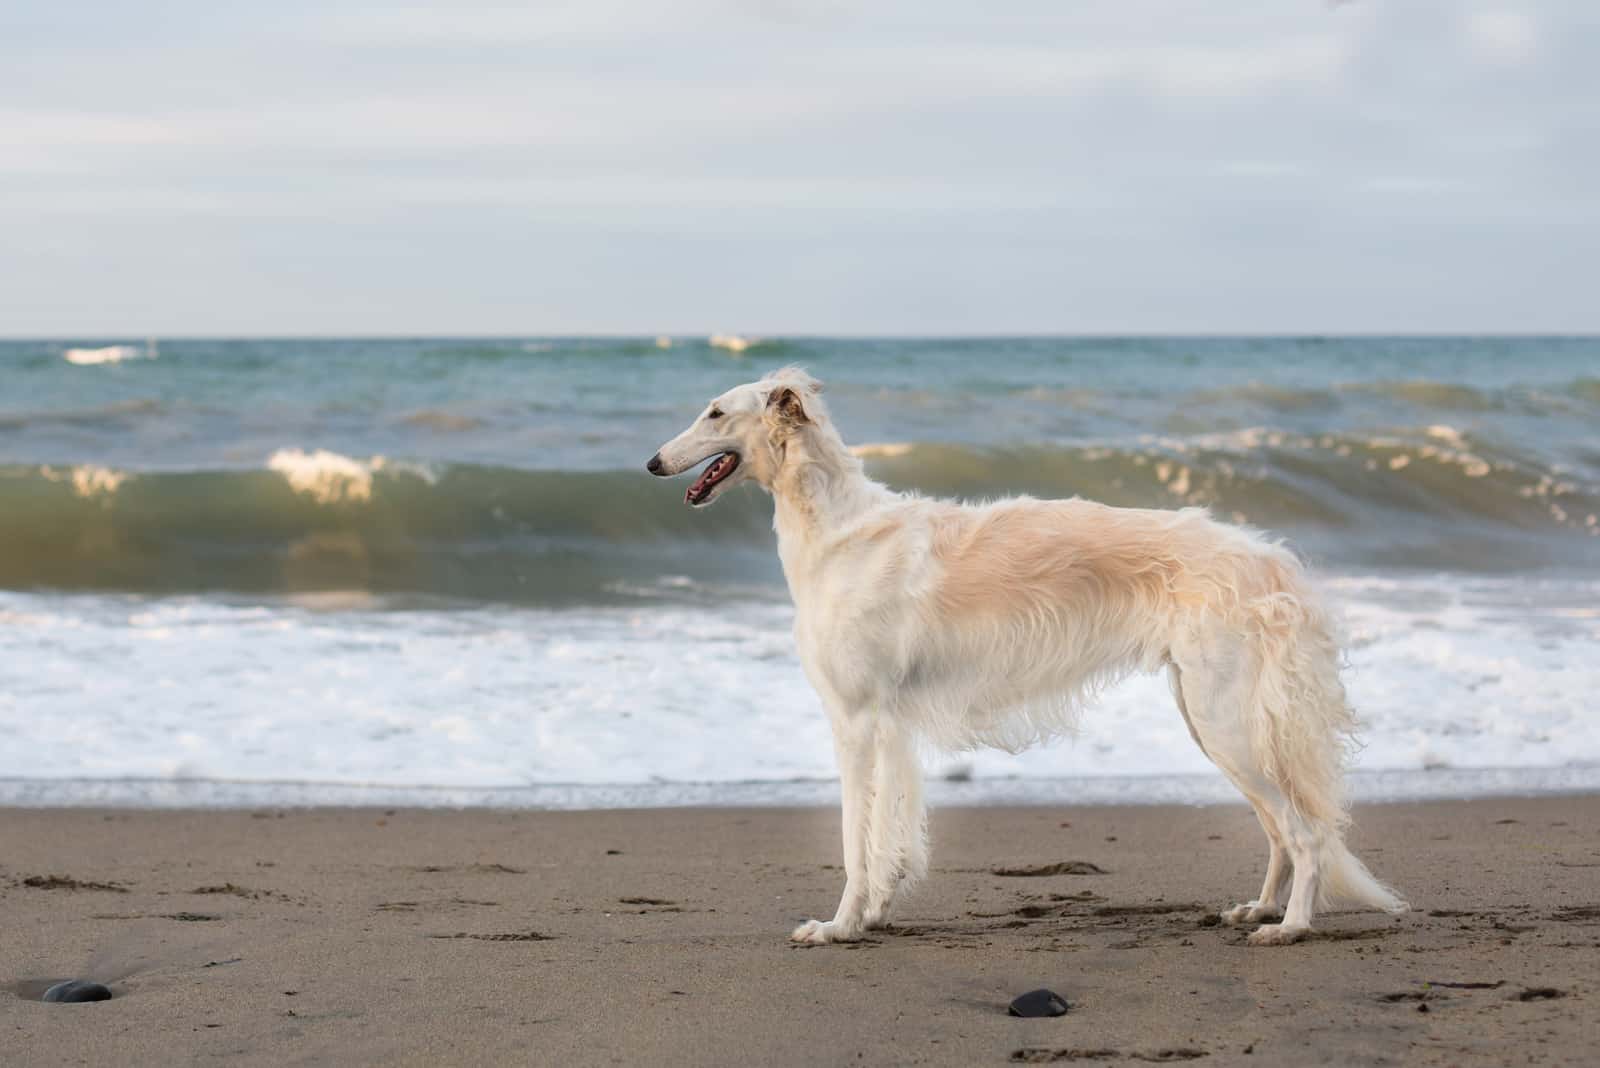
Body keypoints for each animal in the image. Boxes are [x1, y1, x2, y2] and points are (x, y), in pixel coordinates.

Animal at [643, 364, 1408, 940]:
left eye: (715, 412)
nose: (651, 462)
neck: (839, 532)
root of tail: (1267, 558)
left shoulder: (855, 720)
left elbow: (855, 840)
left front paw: (838, 925)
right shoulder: (889, 727)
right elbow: (890, 833)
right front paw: (874, 914)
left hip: (1226, 722)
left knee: (1305, 832)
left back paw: (1293, 926)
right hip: (1213, 720)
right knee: (1280, 829)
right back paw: (1263, 907)